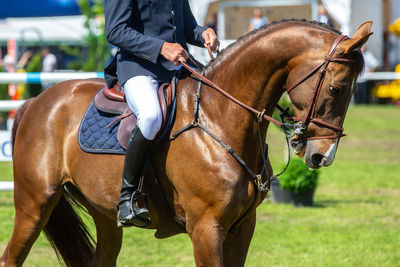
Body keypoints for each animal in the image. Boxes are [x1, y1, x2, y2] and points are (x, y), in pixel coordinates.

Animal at [0, 19, 372, 266]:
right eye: (337, 88)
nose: (322, 156)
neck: (217, 118)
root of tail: (36, 102)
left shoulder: (242, 227)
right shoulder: (206, 228)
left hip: (103, 214)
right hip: (35, 205)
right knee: (11, 256)